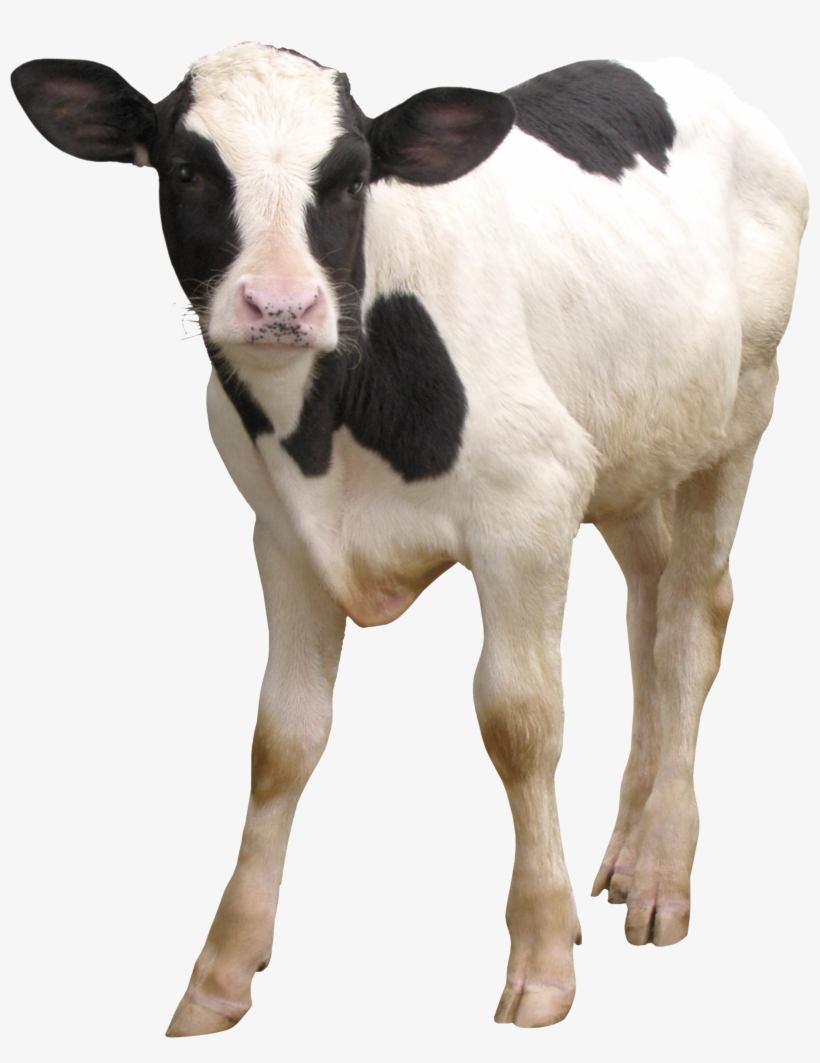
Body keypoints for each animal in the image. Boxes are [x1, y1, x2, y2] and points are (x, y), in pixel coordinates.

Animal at [11, 42, 808, 1037]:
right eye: (186, 169)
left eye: (352, 178)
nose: (281, 305)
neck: (328, 424)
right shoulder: (283, 536)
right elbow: (282, 738)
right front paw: (220, 972)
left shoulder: (527, 507)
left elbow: (521, 721)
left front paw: (542, 959)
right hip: (632, 444)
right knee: (649, 608)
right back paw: (626, 851)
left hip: (745, 402)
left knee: (693, 622)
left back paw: (663, 867)